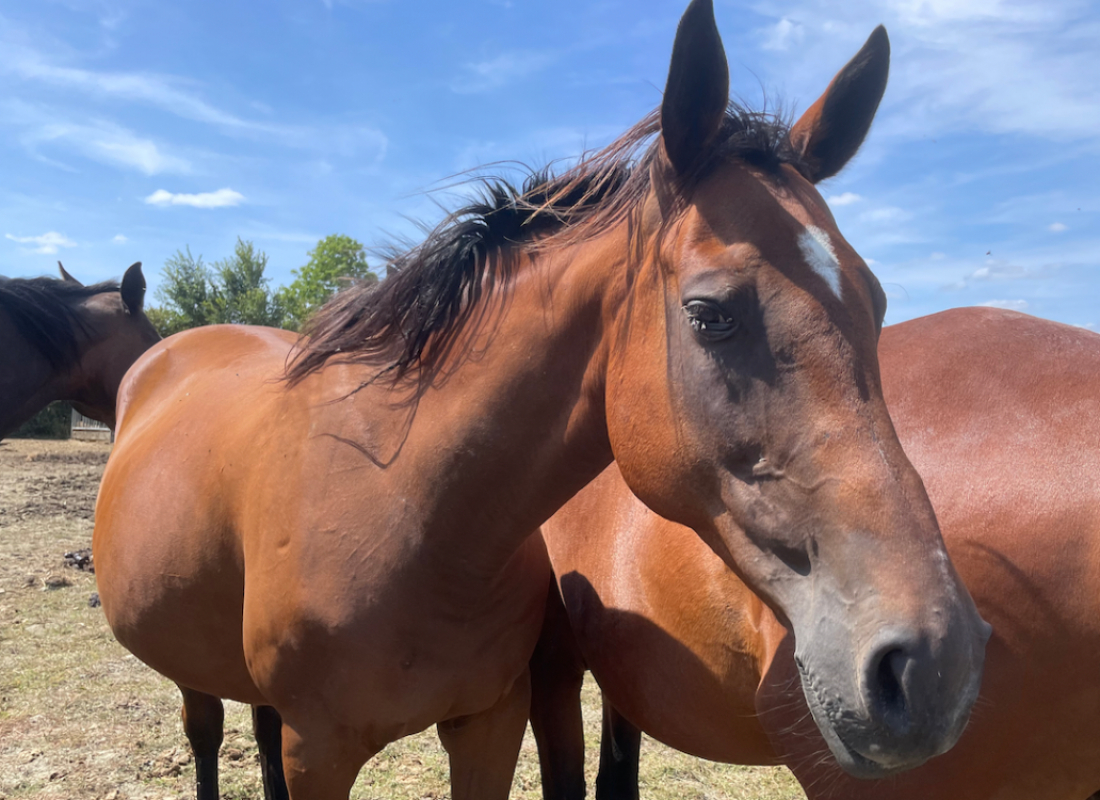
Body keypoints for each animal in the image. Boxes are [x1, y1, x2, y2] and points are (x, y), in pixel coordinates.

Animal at [91, 3, 988, 799]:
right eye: (711, 314)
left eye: (876, 304)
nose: (936, 667)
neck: (408, 511)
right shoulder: (324, 751)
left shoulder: (489, 725)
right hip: (192, 677)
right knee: (207, 736)